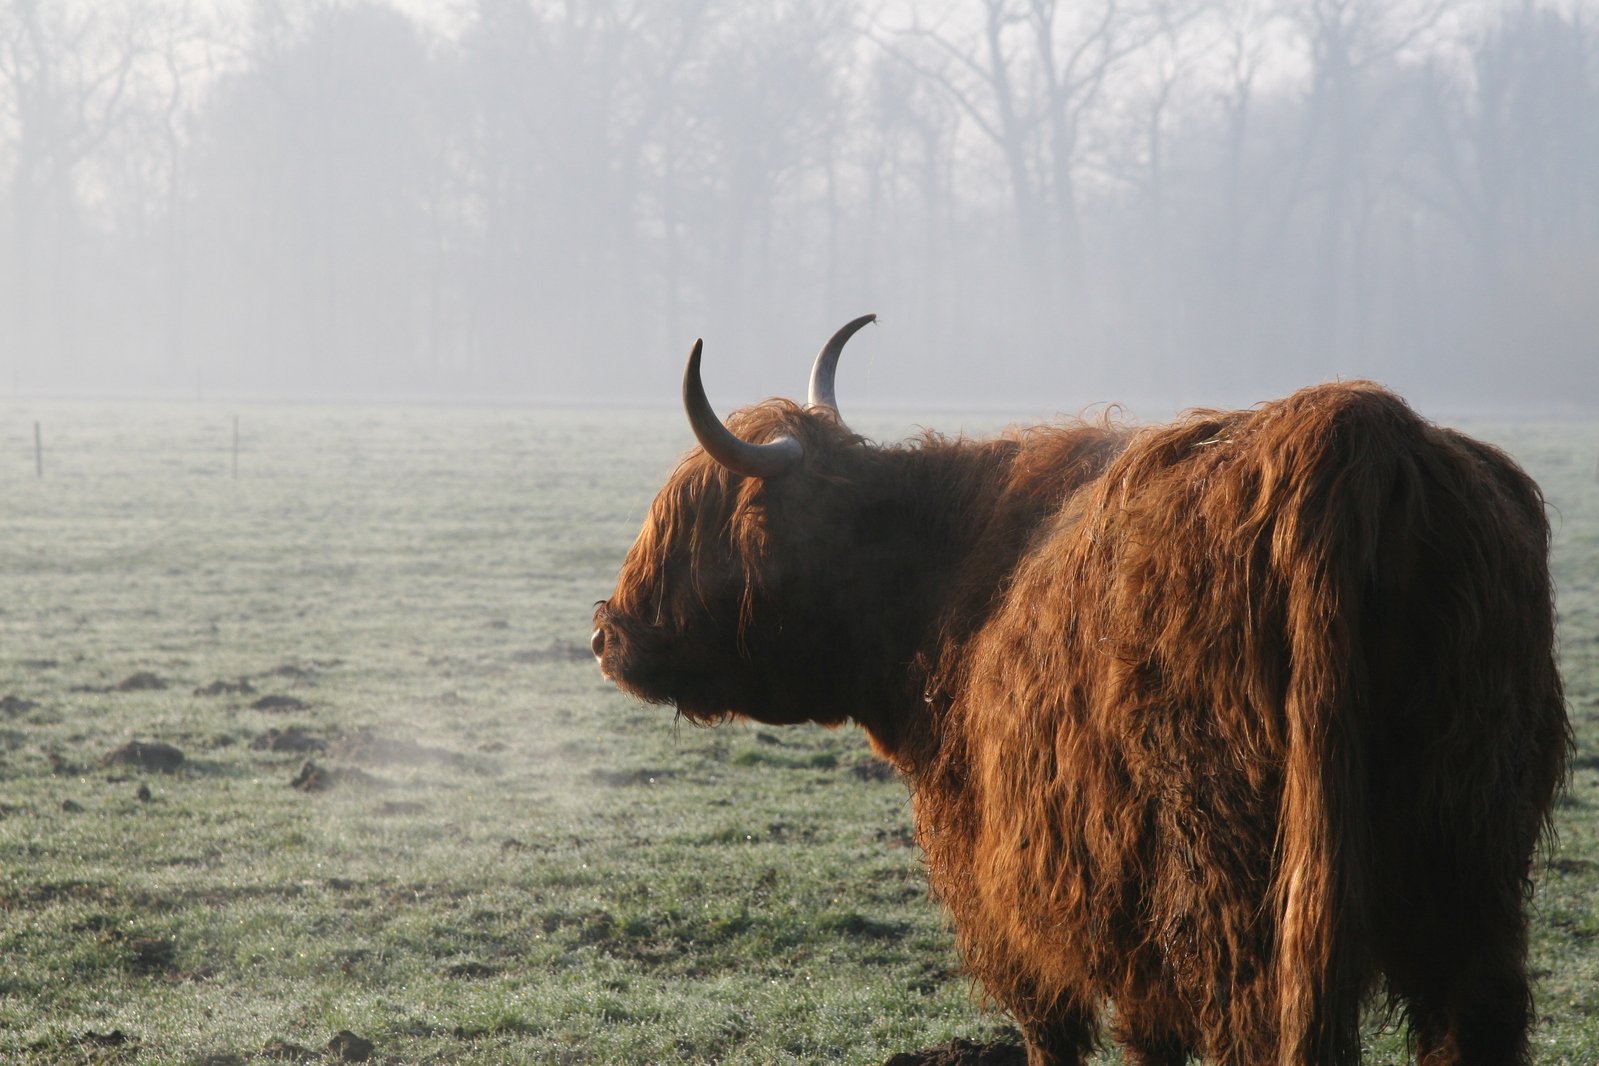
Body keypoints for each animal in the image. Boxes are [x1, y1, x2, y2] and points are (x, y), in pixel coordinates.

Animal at [594, 319, 1567, 1066]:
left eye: (694, 527)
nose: (607, 633)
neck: (937, 581)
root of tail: (1351, 429)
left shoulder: (1013, 868)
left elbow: (1056, 1024)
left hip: (1236, 887)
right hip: (1470, 855)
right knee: (1476, 1018)